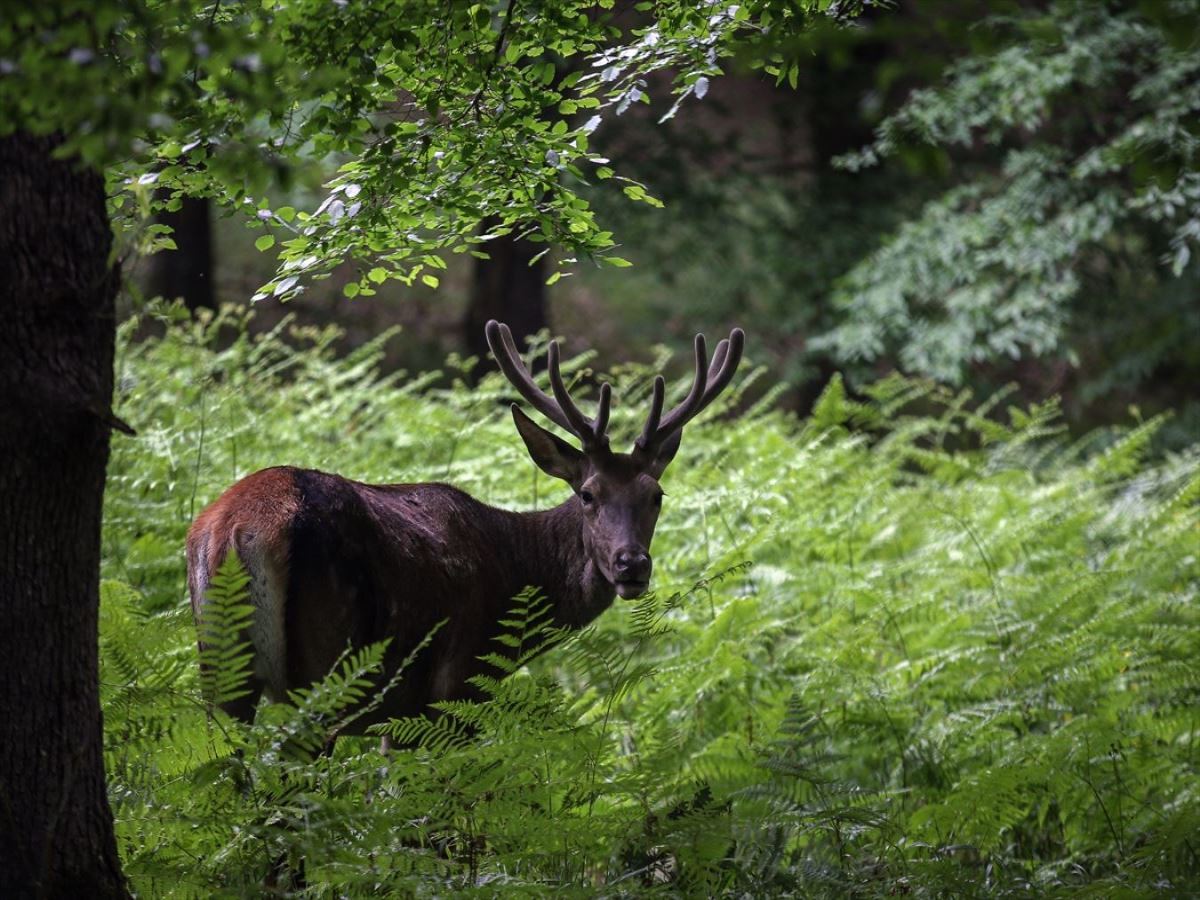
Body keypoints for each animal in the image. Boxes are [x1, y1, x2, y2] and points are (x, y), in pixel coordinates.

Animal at [186, 321, 739, 734]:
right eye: (588, 494)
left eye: (656, 495)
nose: (631, 564)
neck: (512, 569)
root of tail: (235, 532)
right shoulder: (455, 688)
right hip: (324, 668)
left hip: (223, 678)